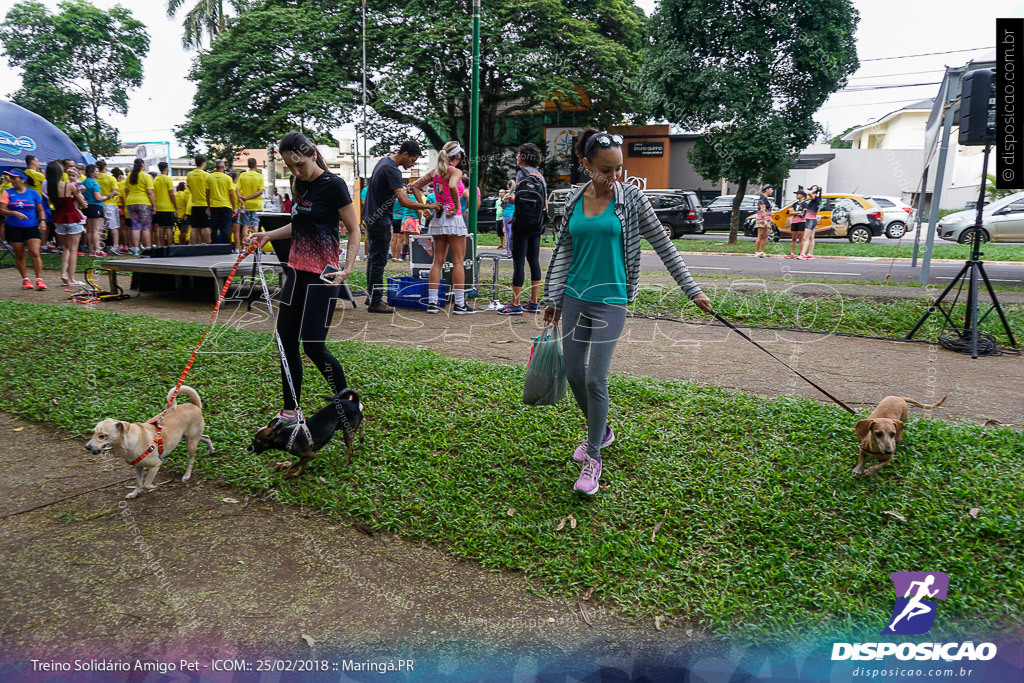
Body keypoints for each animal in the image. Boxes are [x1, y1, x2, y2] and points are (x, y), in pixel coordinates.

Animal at [87, 387, 215, 499]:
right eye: (92, 433)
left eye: (102, 436)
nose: (87, 447)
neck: (128, 443)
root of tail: (194, 405)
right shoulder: (138, 467)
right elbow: (139, 483)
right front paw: (134, 494)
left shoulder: (156, 465)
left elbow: (146, 483)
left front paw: (155, 486)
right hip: (189, 436)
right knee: (206, 437)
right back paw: (211, 450)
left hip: (191, 443)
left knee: (191, 459)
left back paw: (186, 475)